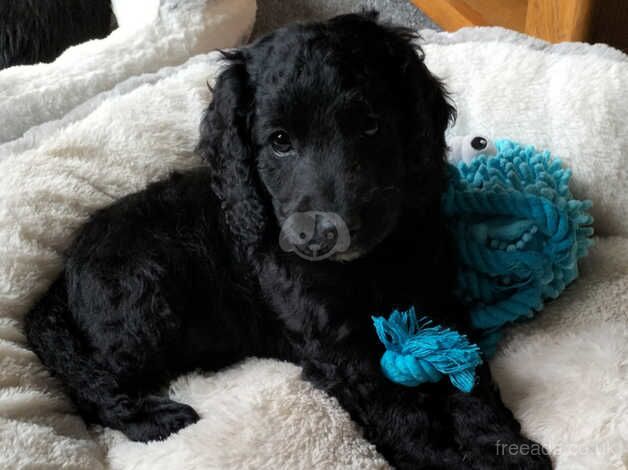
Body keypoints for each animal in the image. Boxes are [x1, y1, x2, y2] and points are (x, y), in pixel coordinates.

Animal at [27, 12, 552, 468]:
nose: (326, 235)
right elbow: (396, 410)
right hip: (145, 300)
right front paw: (439, 459)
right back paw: (151, 417)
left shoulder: (437, 297)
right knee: (89, 380)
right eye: (279, 141)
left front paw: (498, 446)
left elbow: (469, 380)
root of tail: (62, 279)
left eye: (371, 125)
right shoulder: (337, 345)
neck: (366, 266)